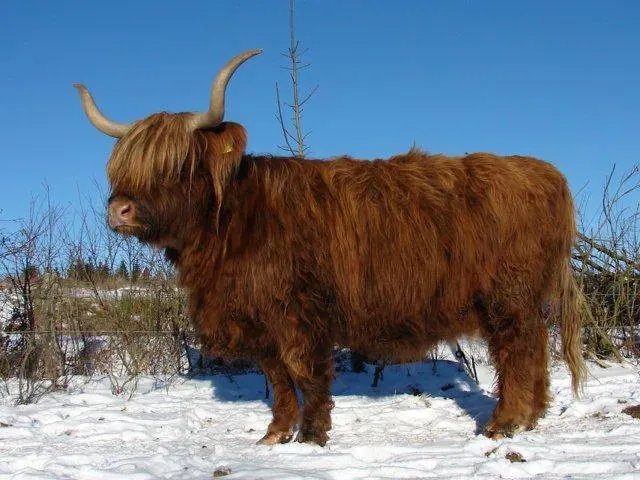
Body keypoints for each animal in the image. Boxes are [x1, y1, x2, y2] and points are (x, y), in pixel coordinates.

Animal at [74, 48, 586, 446]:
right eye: (121, 166)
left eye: (176, 163)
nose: (119, 209)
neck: (235, 221)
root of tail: (544, 172)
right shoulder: (258, 318)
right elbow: (278, 379)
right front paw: (275, 434)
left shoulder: (298, 312)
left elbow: (305, 373)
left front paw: (312, 435)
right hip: (521, 301)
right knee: (535, 351)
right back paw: (532, 417)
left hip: (507, 299)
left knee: (516, 352)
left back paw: (503, 423)